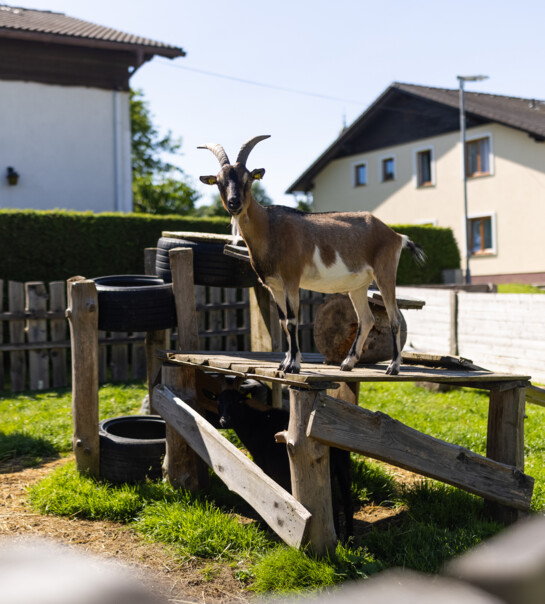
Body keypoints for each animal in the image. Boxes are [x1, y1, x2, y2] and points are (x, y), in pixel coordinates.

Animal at [199, 134, 424, 376]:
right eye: (219, 182)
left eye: (248, 178)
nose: (234, 203)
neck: (269, 227)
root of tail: (396, 235)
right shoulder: (274, 286)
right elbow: (282, 322)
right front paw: (284, 363)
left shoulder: (291, 280)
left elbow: (291, 321)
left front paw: (293, 365)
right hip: (359, 285)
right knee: (366, 318)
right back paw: (348, 363)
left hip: (385, 272)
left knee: (395, 318)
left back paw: (393, 367)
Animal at [212, 384, 352, 540]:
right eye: (218, 402)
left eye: (237, 402)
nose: (224, 421)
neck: (255, 424)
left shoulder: (264, 463)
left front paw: (266, 524)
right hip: (343, 465)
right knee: (346, 500)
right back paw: (348, 538)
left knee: (333, 502)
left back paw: (338, 537)